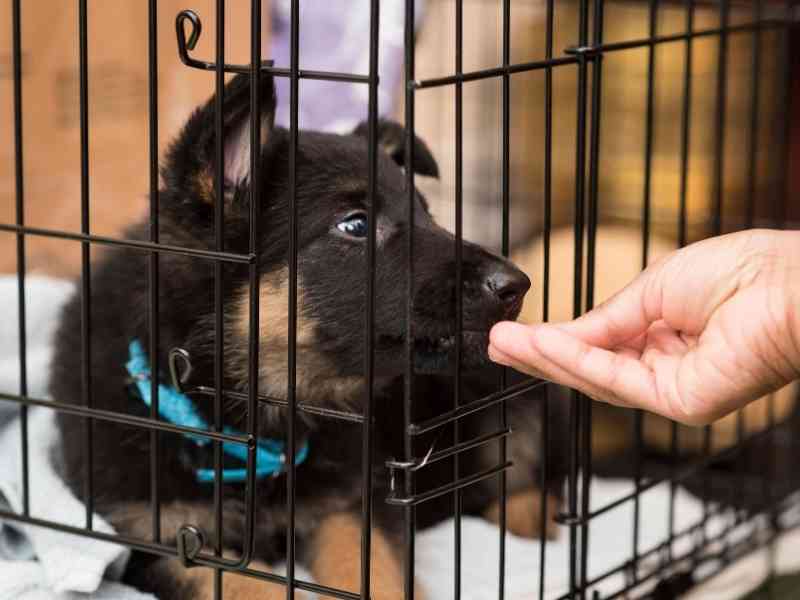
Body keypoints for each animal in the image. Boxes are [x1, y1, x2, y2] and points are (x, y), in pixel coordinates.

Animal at [51, 71, 564, 600]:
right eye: (355, 225)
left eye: (428, 216)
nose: (517, 285)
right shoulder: (160, 537)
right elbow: (250, 585)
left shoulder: (350, 505)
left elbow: (376, 571)